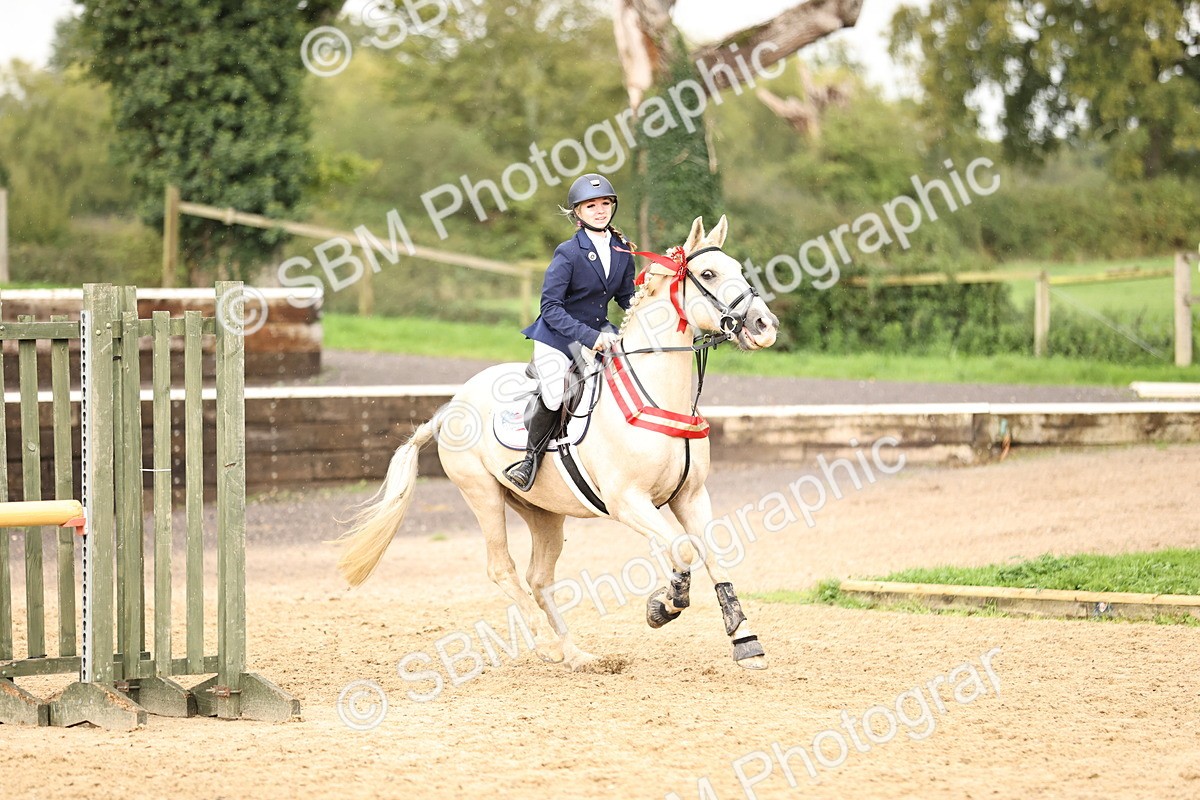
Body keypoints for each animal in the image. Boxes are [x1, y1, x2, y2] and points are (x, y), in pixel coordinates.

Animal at [336, 215, 780, 671]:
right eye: (708, 274)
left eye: (739, 270)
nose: (765, 327)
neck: (657, 394)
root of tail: (450, 407)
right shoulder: (628, 501)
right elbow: (683, 551)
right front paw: (663, 606)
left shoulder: (691, 496)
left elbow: (713, 555)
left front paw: (745, 640)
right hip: (482, 494)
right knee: (503, 568)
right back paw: (547, 645)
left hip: (543, 512)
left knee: (539, 578)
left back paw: (575, 653)